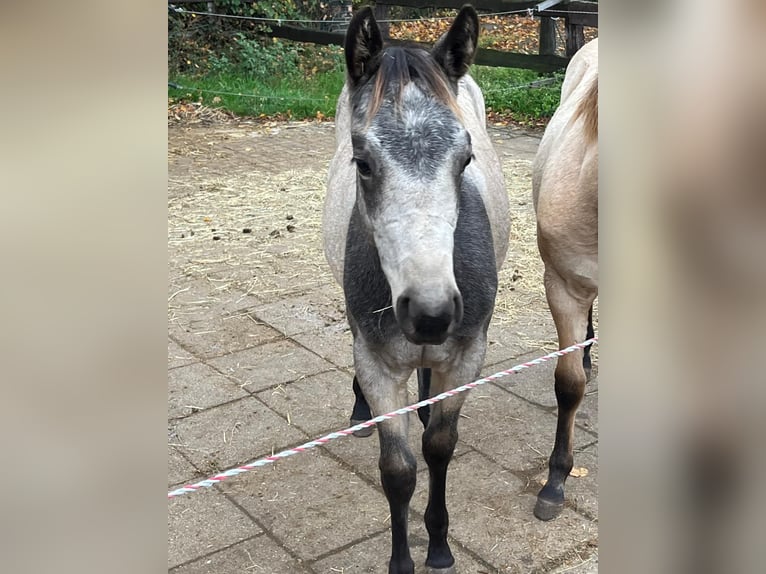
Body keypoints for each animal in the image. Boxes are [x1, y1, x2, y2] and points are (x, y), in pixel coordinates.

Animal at [324, 5, 510, 574]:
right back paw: (360, 412)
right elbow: (399, 470)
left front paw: (441, 546)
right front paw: (403, 560)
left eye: (465, 159)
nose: (430, 313)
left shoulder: (467, 356)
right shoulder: (379, 365)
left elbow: (439, 447)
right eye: (362, 162)